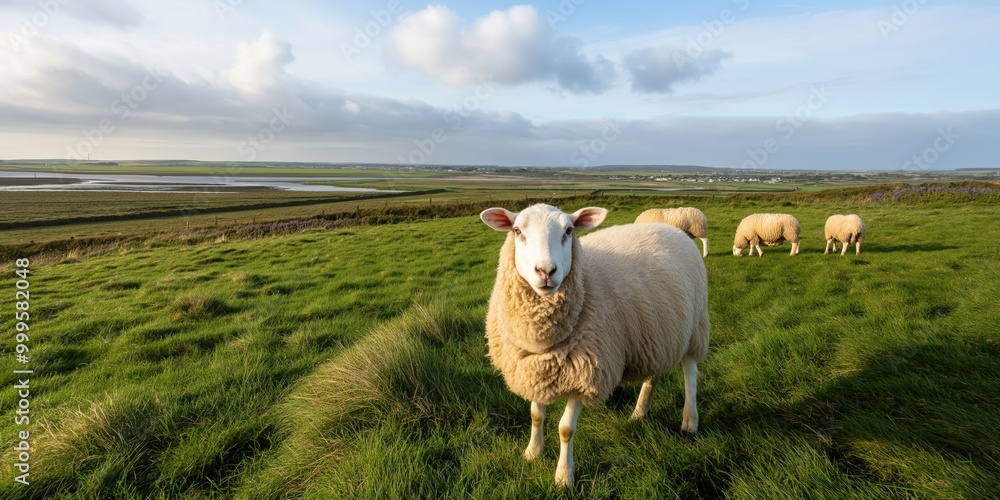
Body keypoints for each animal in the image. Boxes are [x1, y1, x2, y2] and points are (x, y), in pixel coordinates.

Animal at [480, 203, 710, 488]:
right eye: (517, 231)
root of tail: (674, 229)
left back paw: (690, 421)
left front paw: (564, 476)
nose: (546, 271)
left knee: (690, 374)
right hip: (657, 335)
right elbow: (536, 415)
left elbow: (566, 429)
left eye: (568, 231)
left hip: (695, 326)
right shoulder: (532, 368)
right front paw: (533, 452)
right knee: (653, 375)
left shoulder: (586, 371)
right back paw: (639, 412)